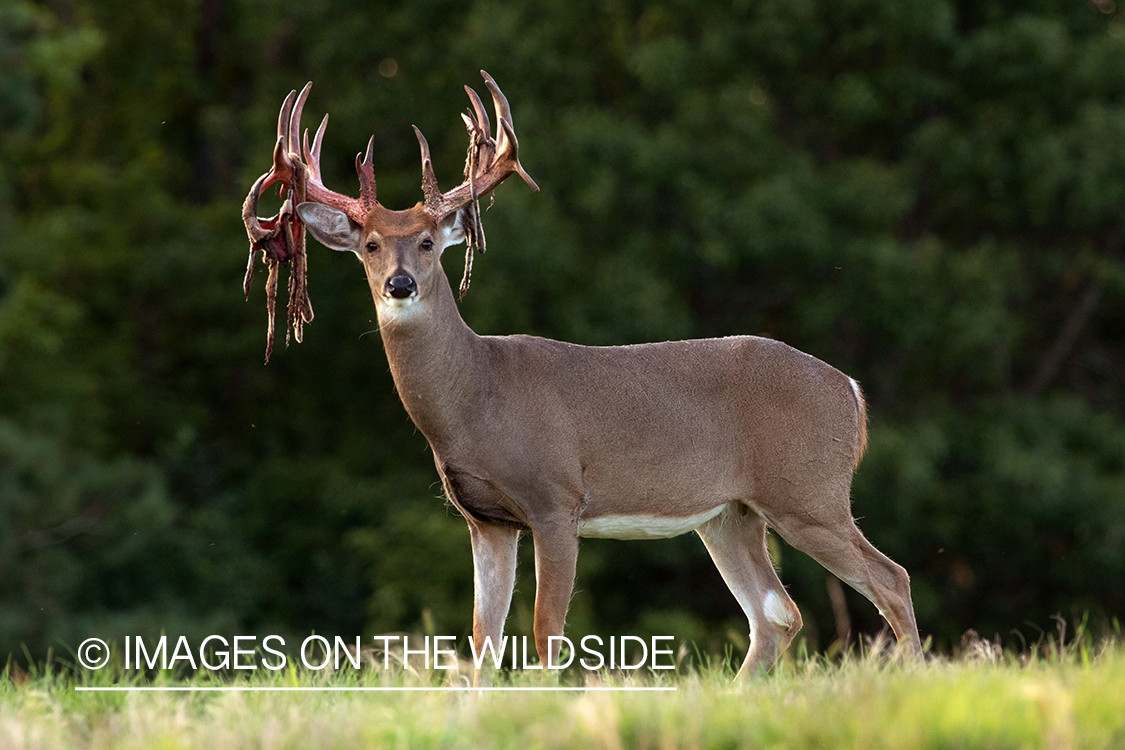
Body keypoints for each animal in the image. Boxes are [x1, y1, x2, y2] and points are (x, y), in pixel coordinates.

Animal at [241, 71, 918, 688]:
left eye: (430, 242)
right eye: (373, 245)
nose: (399, 284)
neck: (477, 396)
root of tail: (850, 391)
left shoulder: (556, 496)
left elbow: (546, 630)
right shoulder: (485, 518)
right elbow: (482, 639)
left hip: (807, 489)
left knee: (890, 578)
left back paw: (912, 678)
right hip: (730, 513)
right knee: (777, 614)